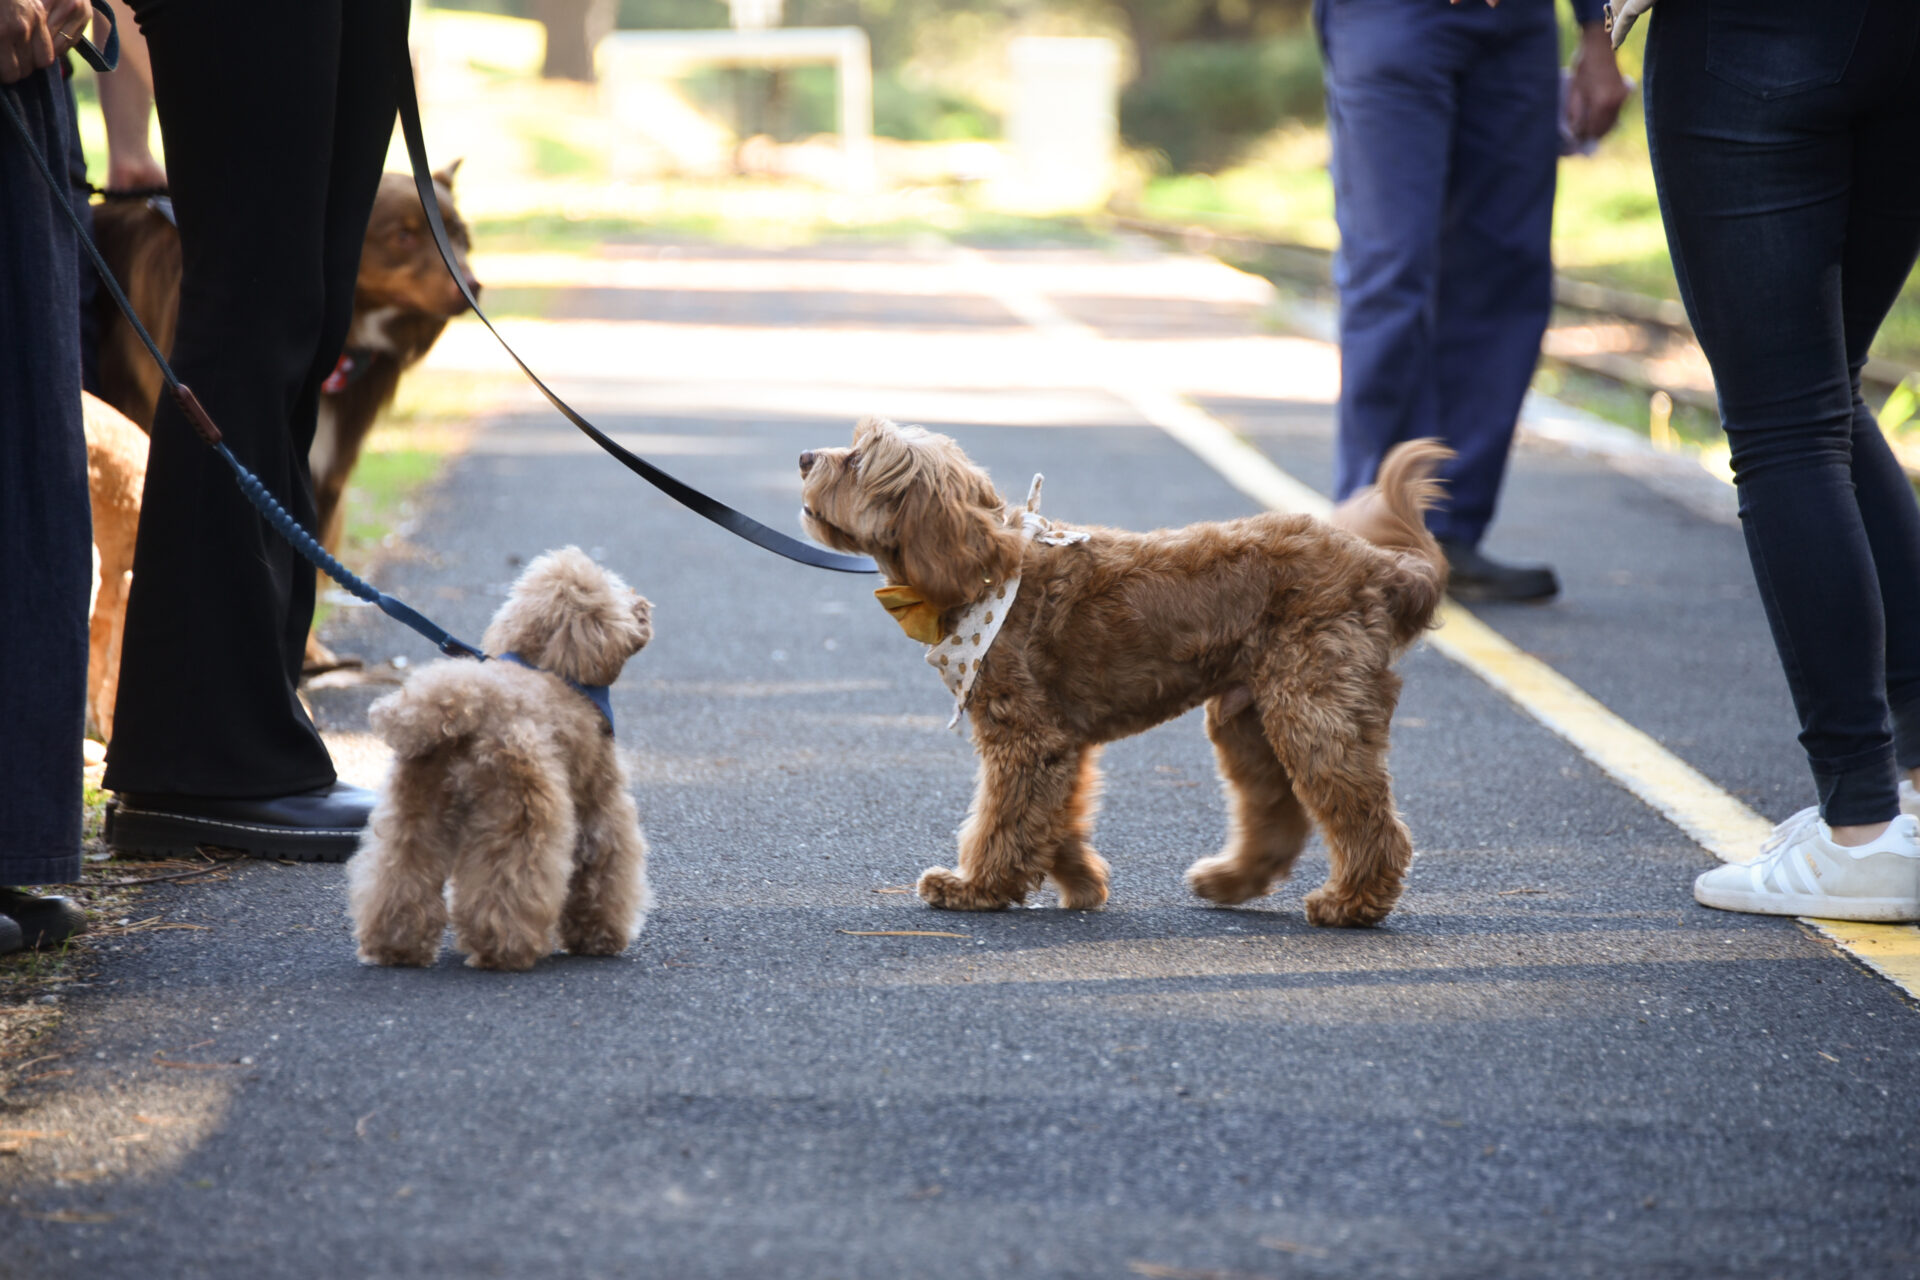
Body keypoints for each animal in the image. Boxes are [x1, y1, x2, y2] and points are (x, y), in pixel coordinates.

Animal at [90, 165, 483, 671]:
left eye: (459, 235)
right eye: (403, 237)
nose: (472, 285)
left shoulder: (328, 468)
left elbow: (310, 554)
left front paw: (310, 652)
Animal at [353, 545, 660, 971]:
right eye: (614, 590)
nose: (643, 603)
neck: (552, 667)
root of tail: (459, 707)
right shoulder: (600, 801)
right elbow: (603, 865)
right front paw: (600, 937)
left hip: (416, 803)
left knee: (400, 870)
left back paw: (395, 945)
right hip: (521, 804)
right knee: (510, 876)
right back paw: (503, 947)